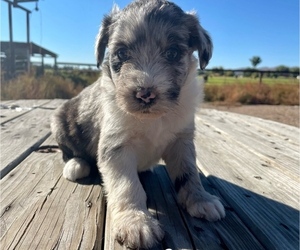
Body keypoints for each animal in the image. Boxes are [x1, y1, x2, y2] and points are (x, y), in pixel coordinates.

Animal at [51, 0, 225, 248]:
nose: (145, 94)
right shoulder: (116, 146)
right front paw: (136, 222)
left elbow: (189, 172)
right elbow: (127, 185)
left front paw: (201, 199)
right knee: (67, 151)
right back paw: (76, 165)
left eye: (172, 53)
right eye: (122, 53)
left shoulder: (181, 141)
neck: (152, 117)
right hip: (59, 120)